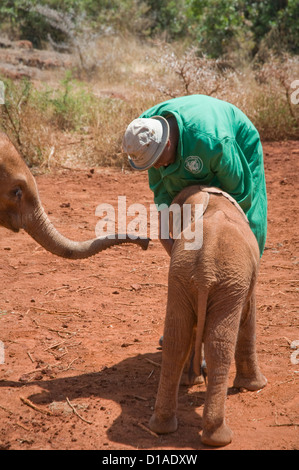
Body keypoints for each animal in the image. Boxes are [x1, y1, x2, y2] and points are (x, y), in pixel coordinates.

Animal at [149, 185, 268, 446]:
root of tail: (204, 270)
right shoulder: (246, 281)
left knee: (176, 339)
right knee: (219, 345)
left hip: (182, 276)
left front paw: (191, 381)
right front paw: (258, 386)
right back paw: (219, 438)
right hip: (229, 284)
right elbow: (249, 316)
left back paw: (162, 427)